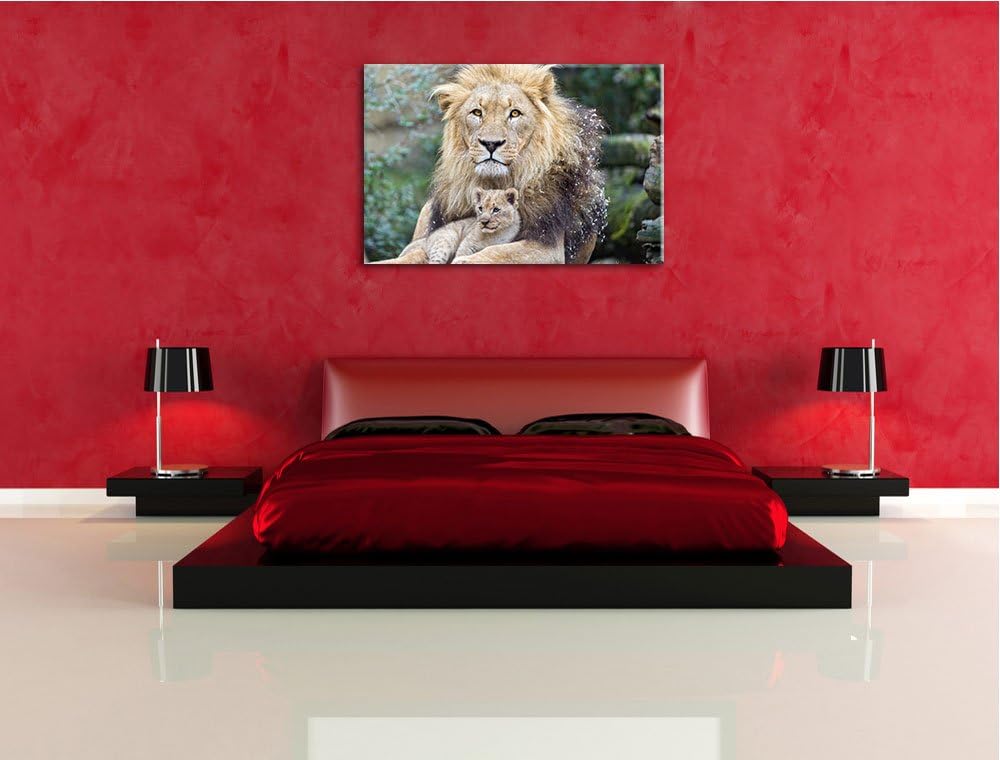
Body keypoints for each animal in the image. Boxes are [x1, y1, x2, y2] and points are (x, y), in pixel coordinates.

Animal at [390, 64, 607, 265]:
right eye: (477, 112)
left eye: (515, 113)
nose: (491, 144)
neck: (493, 183)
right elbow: (415, 253)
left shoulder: (547, 246)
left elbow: (496, 251)